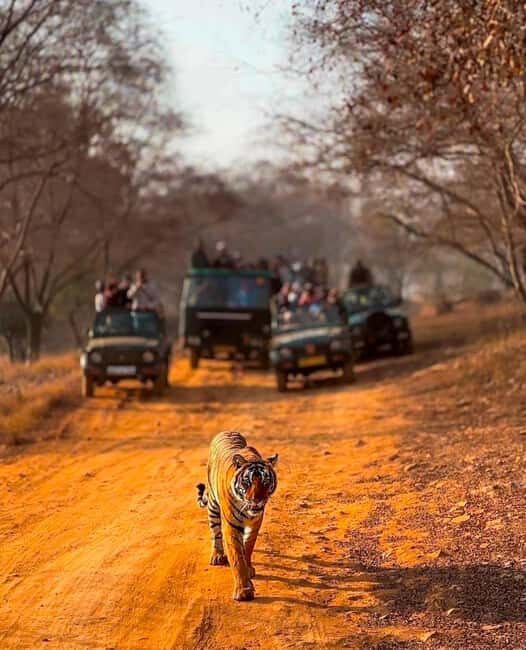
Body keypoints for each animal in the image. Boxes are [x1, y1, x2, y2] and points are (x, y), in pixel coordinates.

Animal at [196, 430, 278, 601]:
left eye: (265, 481)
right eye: (247, 481)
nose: (256, 500)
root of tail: (225, 431)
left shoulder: (255, 523)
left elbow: (247, 548)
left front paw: (249, 569)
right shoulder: (231, 526)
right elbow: (237, 557)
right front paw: (243, 590)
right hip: (213, 505)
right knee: (216, 533)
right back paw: (217, 556)